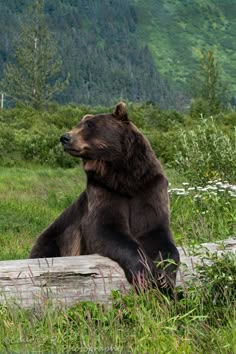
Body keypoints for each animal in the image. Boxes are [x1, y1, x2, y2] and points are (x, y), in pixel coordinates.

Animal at [30, 101, 180, 290]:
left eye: (89, 125)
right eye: (79, 124)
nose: (65, 138)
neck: (125, 178)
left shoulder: (150, 188)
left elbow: (156, 231)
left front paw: (165, 275)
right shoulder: (104, 190)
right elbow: (106, 229)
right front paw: (145, 272)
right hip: (53, 239)